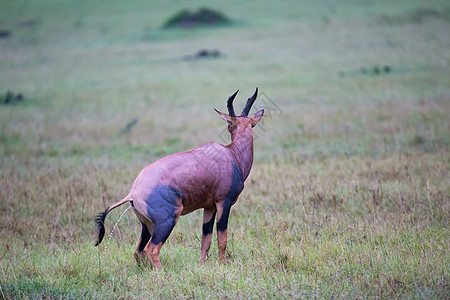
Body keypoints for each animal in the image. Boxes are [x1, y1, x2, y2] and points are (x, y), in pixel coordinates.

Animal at [95, 88, 264, 268]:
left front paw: (202, 266)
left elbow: (206, 241)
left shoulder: (209, 207)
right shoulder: (223, 203)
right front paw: (222, 266)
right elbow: (222, 239)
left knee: (138, 251)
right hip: (167, 221)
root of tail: (133, 192)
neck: (231, 154)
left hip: (148, 225)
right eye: (229, 125)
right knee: (151, 249)